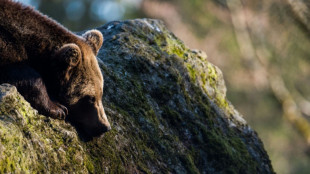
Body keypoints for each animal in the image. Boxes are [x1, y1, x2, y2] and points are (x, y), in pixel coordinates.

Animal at [0, 0, 111, 137]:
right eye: (90, 98)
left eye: (101, 93)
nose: (105, 126)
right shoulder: (6, 47)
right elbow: (23, 74)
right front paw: (58, 108)